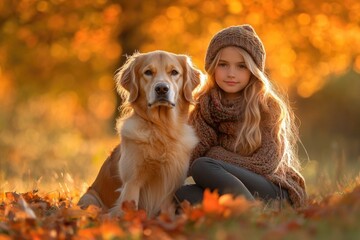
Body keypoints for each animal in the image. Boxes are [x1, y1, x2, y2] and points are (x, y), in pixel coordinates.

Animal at [78, 50, 201, 218]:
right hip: (89, 198)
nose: (162, 88)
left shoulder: (171, 185)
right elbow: (130, 208)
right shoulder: (132, 182)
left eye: (174, 72)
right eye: (148, 72)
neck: (161, 129)